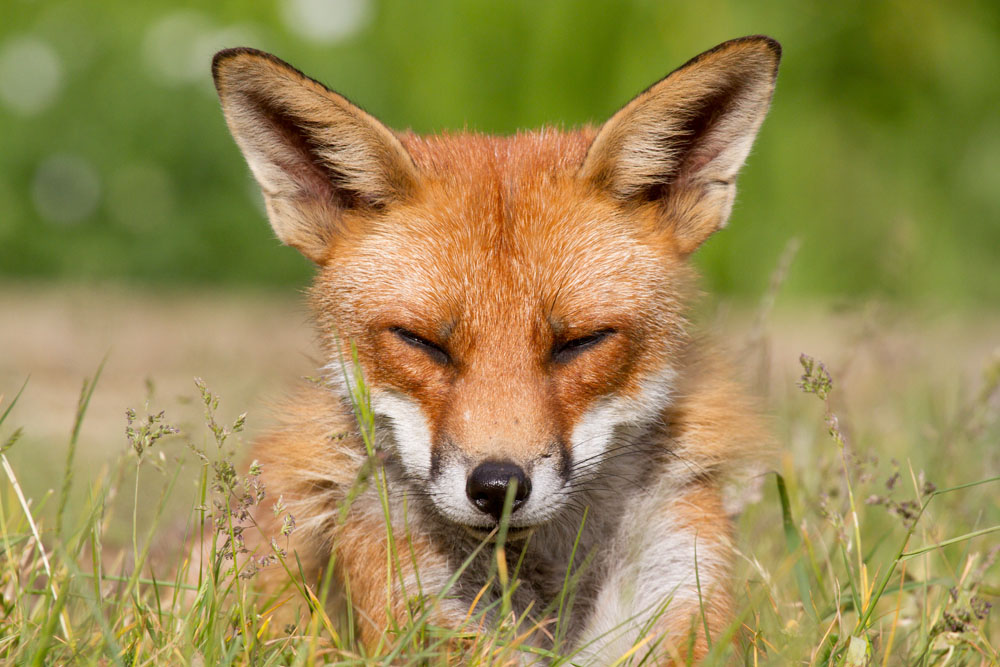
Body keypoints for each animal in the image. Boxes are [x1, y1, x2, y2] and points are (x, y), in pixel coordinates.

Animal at [211, 35, 779, 663]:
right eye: (422, 342)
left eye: (580, 342)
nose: (498, 489)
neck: (548, 590)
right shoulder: (417, 607)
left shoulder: (685, 589)